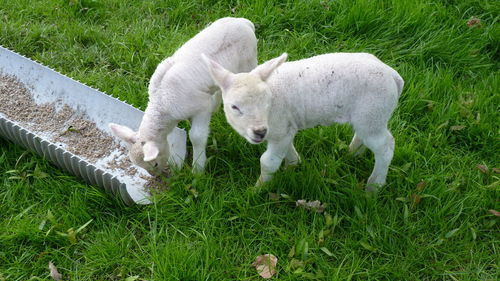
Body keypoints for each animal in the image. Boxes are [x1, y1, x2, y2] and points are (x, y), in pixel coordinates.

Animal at [109, 16, 258, 174]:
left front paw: (198, 169)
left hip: (249, 61)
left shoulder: (201, 108)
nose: (156, 176)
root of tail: (244, 22)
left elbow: (197, 136)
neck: (161, 103)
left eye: (154, 164)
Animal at [205, 51, 404, 190]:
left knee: (385, 146)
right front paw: (293, 166)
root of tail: (394, 76)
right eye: (234, 107)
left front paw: (256, 190)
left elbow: (268, 162)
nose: (259, 132)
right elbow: (288, 152)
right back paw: (352, 154)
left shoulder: (280, 129)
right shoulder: (285, 129)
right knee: (363, 135)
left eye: (267, 102)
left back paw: (374, 186)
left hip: (374, 111)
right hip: (367, 116)